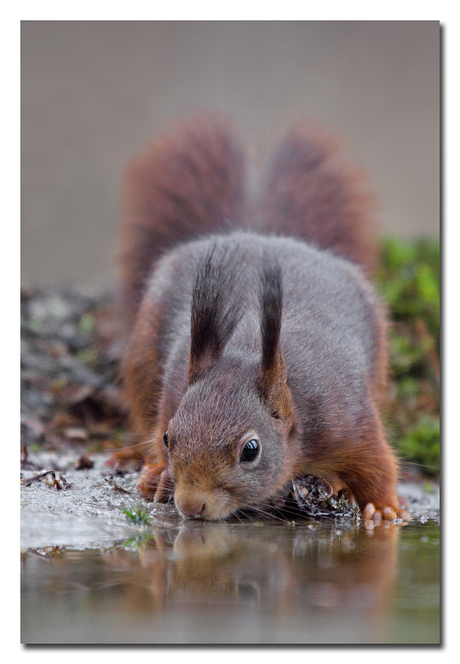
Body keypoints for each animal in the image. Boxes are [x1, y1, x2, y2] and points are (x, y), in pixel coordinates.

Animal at [113, 114, 408, 524]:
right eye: (171, 438)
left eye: (250, 450)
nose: (191, 505)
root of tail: (262, 233)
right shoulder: (172, 394)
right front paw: (160, 474)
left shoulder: (347, 418)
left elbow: (376, 463)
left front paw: (383, 509)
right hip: (143, 360)